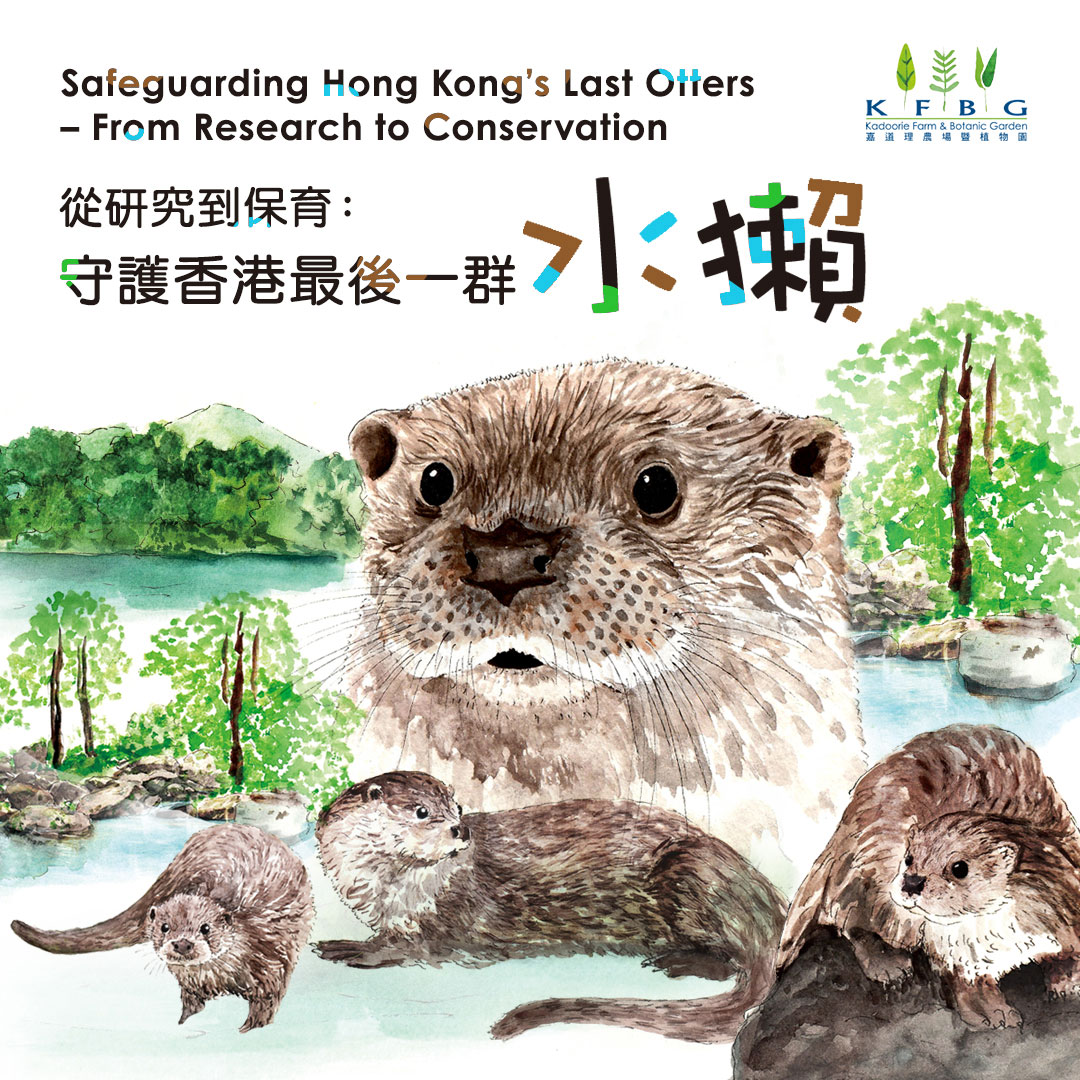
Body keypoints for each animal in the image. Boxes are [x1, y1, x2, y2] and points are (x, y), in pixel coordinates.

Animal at [11, 824, 314, 1032]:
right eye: (165, 927)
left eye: (205, 928)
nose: (182, 943)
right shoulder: (191, 985)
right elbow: (191, 1004)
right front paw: (183, 1022)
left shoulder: (272, 966)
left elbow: (266, 1006)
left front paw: (248, 1029)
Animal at [314, 771, 787, 1043]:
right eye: (421, 811)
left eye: (457, 807)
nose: (459, 830)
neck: (383, 889)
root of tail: (772, 913)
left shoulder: (445, 918)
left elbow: (405, 947)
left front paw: (348, 947)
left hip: (691, 870)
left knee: (729, 957)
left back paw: (674, 962)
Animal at [776, 724, 1080, 1029]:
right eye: (909, 858)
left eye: (959, 868)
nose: (912, 882)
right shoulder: (958, 954)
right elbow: (969, 987)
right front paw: (994, 1013)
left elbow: (1071, 954)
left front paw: (1067, 983)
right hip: (866, 876)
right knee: (850, 918)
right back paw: (888, 964)